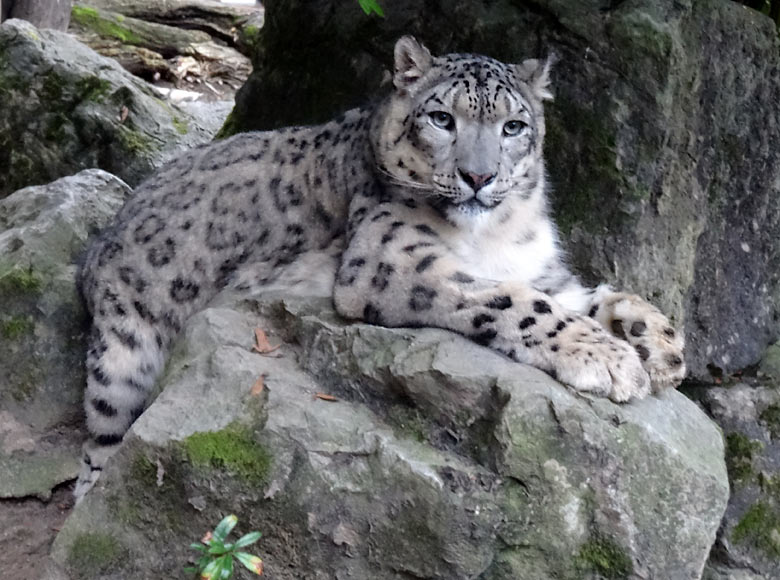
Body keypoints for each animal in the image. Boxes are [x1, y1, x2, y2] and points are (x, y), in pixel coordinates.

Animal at [71, 36, 684, 500]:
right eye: (441, 118)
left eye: (513, 126)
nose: (478, 177)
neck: (499, 230)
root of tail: (101, 239)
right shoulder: (393, 260)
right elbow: (518, 302)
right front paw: (611, 361)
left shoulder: (541, 269)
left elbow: (592, 297)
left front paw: (661, 347)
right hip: (124, 355)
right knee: (101, 435)